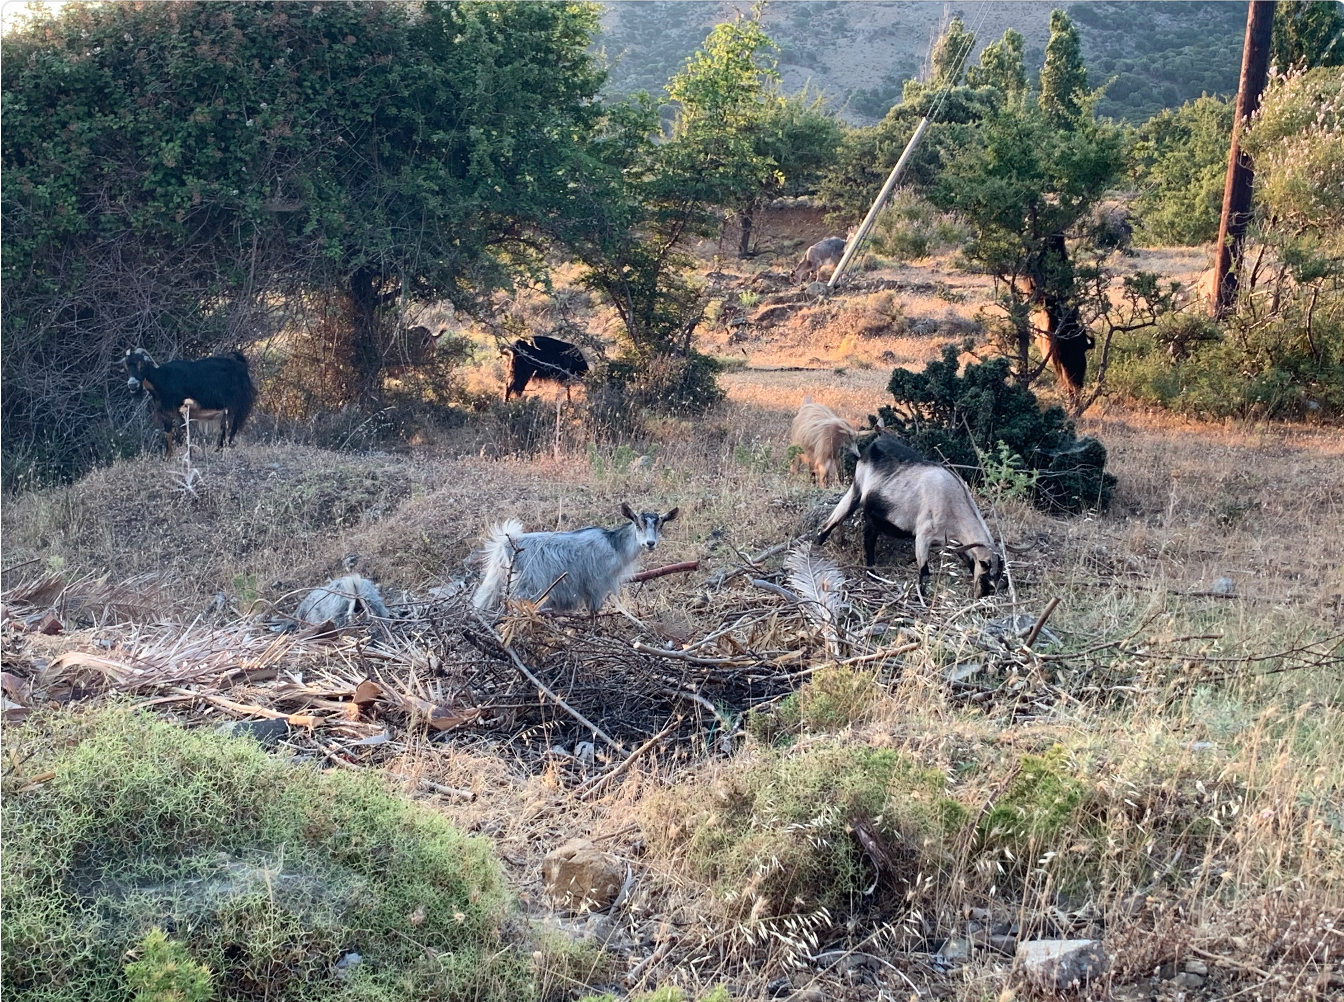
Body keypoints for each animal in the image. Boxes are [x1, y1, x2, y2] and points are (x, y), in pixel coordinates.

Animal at [124, 343, 255, 453]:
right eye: (127, 366)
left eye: (142, 364)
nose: (132, 384)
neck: (163, 379)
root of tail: (242, 366)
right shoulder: (166, 414)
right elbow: (168, 434)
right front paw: (167, 457)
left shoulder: (182, 410)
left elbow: (183, 431)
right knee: (227, 426)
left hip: (238, 404)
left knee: (233, 426)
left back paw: (221, 449)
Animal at [475, 502, 682, 612]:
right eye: (638, 525)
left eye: (661, 525)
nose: (650, 543)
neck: (614, 544)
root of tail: (505, 546)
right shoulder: (597, 586)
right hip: (527, 589)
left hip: (495, 582)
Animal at [806, 432, 999, 596]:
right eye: (987, 574)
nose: (982, 594)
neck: (952, 500)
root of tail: (869, 449)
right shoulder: (923, 536)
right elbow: (924, 573)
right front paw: (921, 599)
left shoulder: (954, 541)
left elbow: (966, 559)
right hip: (856, 493)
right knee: (832, 523)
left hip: (874, 515)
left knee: (866, 536)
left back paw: (871, 573)